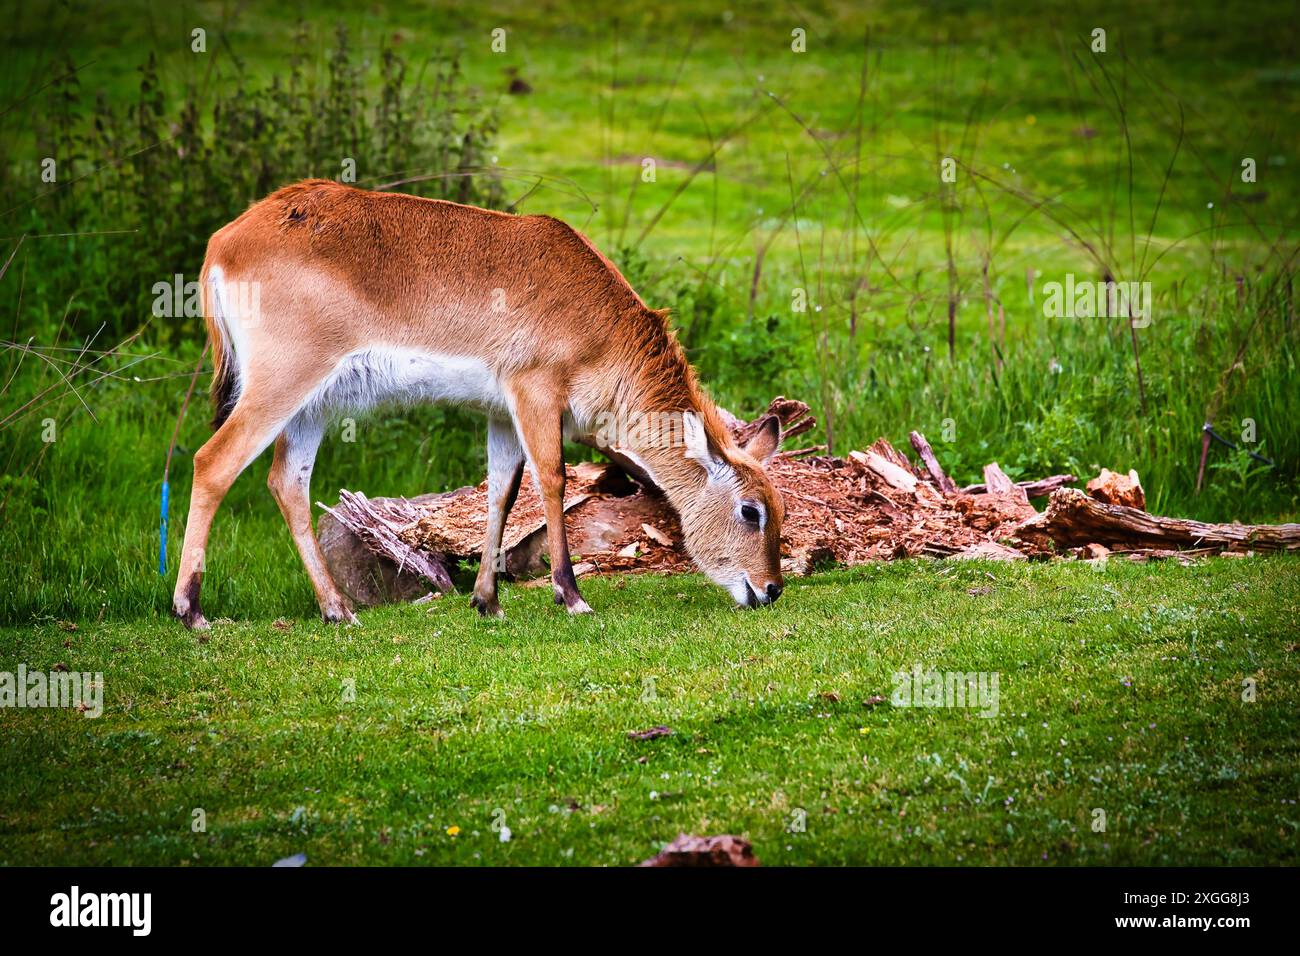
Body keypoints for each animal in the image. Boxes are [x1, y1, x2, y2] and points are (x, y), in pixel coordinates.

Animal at [171, 178, 780, 629]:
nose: (771, 589)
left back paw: (338, 610)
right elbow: (553, 479)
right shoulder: (535, 392)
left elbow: (501, 492)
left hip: (313, 406)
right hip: (281, 384)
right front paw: (571, 596)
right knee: (212, 462)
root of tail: (223, 242)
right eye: (751, 510)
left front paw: (486, 600)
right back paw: (191, 611)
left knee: (287, 482)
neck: (599, 324)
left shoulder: (499, 413)